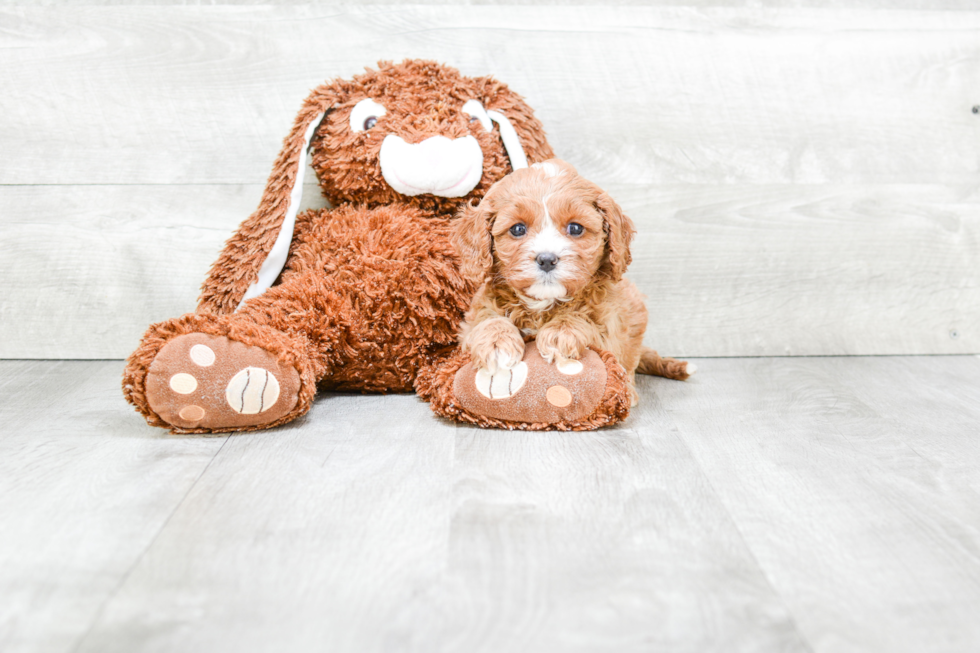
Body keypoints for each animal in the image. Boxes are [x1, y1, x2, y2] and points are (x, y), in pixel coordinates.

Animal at [454, 158, 692, 402]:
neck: (543, 304)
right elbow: (486, 318)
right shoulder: (470, 323)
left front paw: (561, 333)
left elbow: (588, 321)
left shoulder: (612, 328)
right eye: (518, 229)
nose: (546, 259)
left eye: (575, 228)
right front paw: (496, 343)